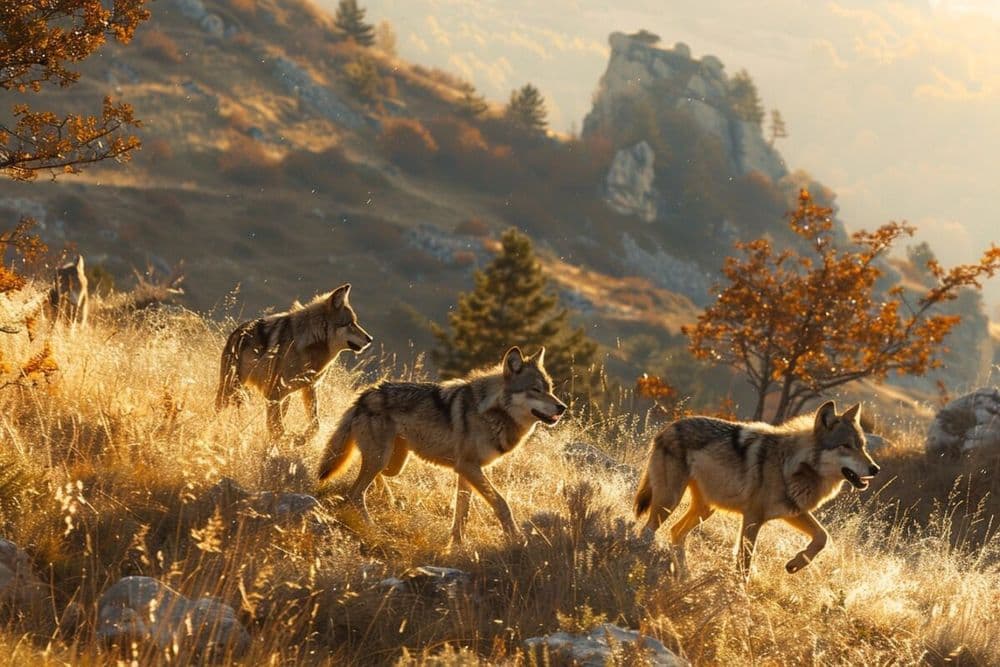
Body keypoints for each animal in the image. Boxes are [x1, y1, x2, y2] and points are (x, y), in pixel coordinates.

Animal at [217, 284, 374, 440]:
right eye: (350, 324)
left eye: (355, 322)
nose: (370, 339)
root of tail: (237, 332)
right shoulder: (274, 394)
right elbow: (278, 429)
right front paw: (288, 442)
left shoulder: (310, 388)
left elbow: (315, 426)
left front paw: (300, 439)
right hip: (230, 388)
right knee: (219, 409)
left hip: (285, 397)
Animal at [320, 348, 572, 544]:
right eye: (536, 390)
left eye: (550, 388)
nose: (562, 407)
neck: (492, 412)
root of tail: (364, 395)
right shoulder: (469, 467)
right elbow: (502, 504)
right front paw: (515, 537)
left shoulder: (467, 471)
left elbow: (462, 512)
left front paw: (457, 543)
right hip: (381, 458)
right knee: (355, 494)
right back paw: (371, 527)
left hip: (393, 464)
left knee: (370, 481)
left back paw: (388, 498)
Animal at [636, 402, 880, 580]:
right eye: (846, 446)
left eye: (862, 446)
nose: (875, 469)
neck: (789, 464)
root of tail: (669, 426)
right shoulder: (753, 518)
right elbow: (745, 562)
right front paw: (739, 594)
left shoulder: (793, 512)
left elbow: (823, 536)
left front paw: (795, 564)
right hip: (670, 501)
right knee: (648, 529)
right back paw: (640, 553)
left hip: (706, 510)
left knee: (676, 532)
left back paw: (685, 575)